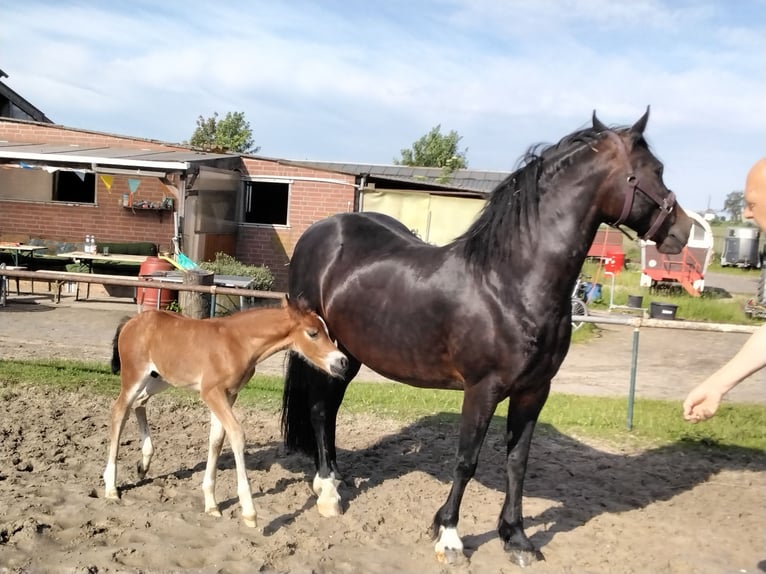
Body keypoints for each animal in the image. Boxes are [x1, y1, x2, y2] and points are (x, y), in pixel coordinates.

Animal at [103, 300, 350, 528]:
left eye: (328, 332)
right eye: (313, 333)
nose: (342, 362)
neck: (237, 343)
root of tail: (131, 322)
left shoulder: (229, 394)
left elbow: (217, 439)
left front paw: (211, 504)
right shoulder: (211, 392)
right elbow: (236, 434)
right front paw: (249, 512)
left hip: (160, 378)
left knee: (140, 403)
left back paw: (144, 464)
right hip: (134, 376)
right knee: (119, 411)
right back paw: (111, 488)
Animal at [282, 109, 696, 568]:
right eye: (655, 170)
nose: (683, 230)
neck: (510, 283)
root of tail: (321, 231)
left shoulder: (534, 391)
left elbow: (518, 461)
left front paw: (516, 538)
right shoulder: (482, 390)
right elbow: (467, 461)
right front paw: (448, 536)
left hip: (348, 355)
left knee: (331, 411)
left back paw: (336, 478)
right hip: (323, 351)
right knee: (320, 409)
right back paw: (328, 492)